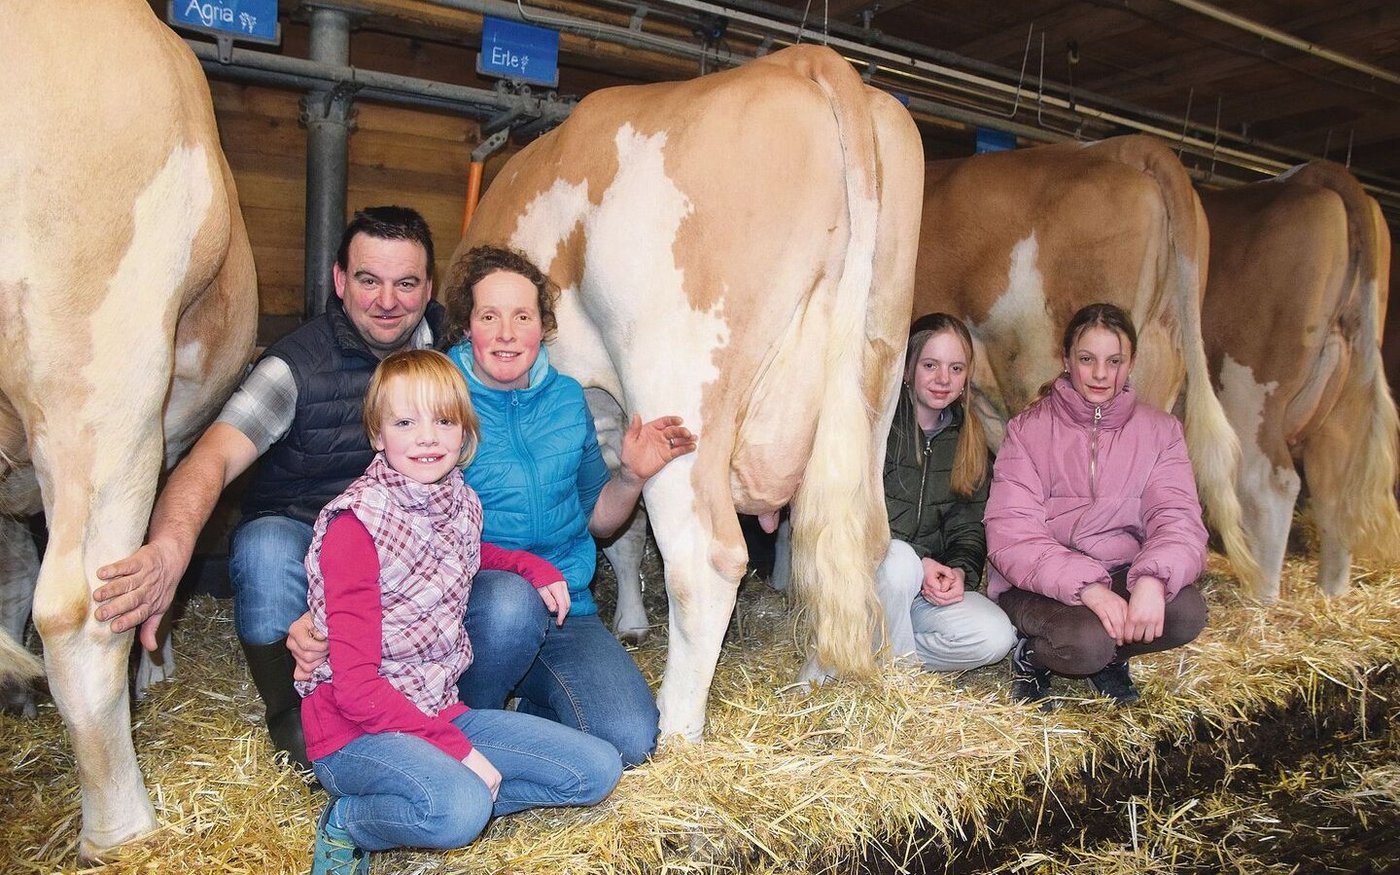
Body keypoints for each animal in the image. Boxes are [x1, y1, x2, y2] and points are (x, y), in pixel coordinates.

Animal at [454, 44, 924, 740]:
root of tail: (805, 59)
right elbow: (619, 529)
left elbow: (621, 534)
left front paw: (628, 622)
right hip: (877, 376)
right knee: (852, 540)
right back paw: (818, 677)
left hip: (680, 375)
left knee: (706, 557)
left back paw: (676, 726)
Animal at [1200, 162, 1400, 600]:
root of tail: (1309, 174)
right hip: (1345, 397)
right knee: (1333, 488)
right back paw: (1331, 593)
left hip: (1248, 388)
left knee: (1269, 484)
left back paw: (1261, 594)